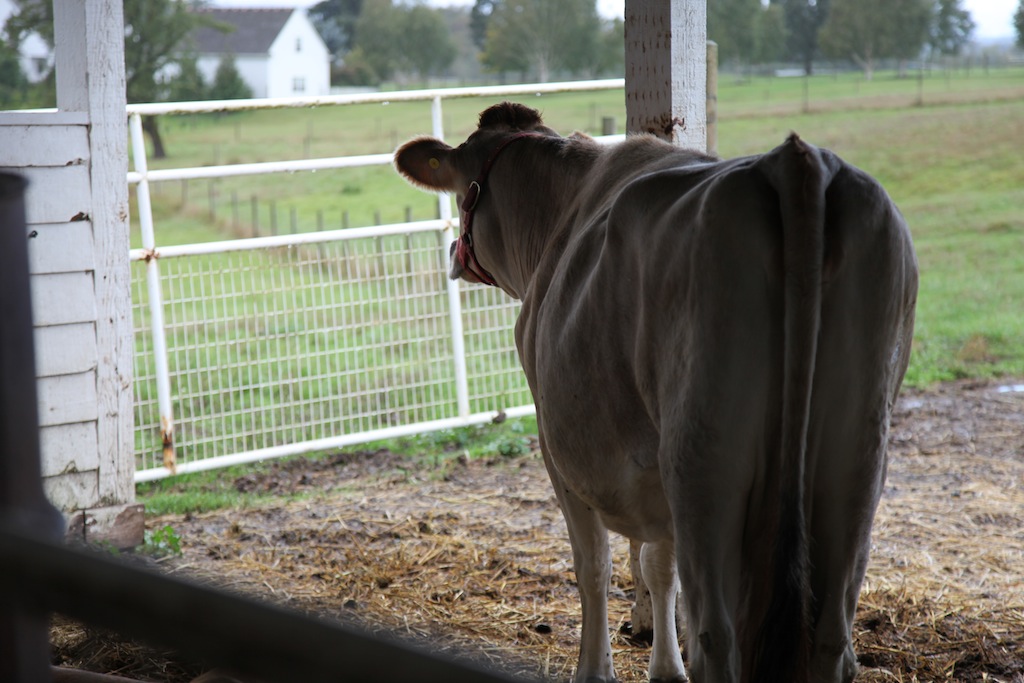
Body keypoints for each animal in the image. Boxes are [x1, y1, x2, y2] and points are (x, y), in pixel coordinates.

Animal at [394, 102, 918, 683]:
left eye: (462, 193)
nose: (453, 251)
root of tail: (794, 162)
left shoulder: (559, 452)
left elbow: (595, 565)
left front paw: (595, 670)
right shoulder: (651, 472)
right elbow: (658, 565)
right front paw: (666, 667)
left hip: (701, 463)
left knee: (718, 635)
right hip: (855, 463)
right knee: (830, 637)